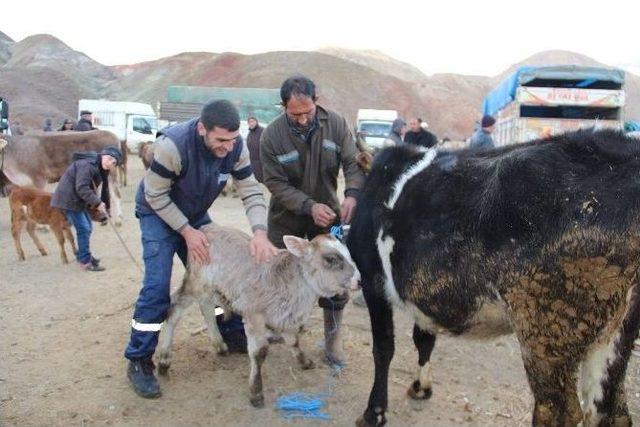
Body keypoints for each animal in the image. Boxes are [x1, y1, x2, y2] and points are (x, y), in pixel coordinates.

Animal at [157, 224, 360, 408]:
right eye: (331, 259)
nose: (359, 281)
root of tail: (205, 229)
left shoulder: (286, 317)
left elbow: (293, 340)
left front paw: (305, 361)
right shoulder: (254, 314)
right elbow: (259, 352)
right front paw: (256, 392)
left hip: (213, 286)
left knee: (206, 307)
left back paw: (220, 345)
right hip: (196, 281)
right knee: (174, 308)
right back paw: (164, 361)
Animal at [348, 130, 640, 427]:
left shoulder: (372, 279)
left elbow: (383, 348)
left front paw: (374, 412)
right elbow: (424, 339)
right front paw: (421, 388)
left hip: (547, 327)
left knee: (558, 410)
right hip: (616, 333)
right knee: (610, 409)